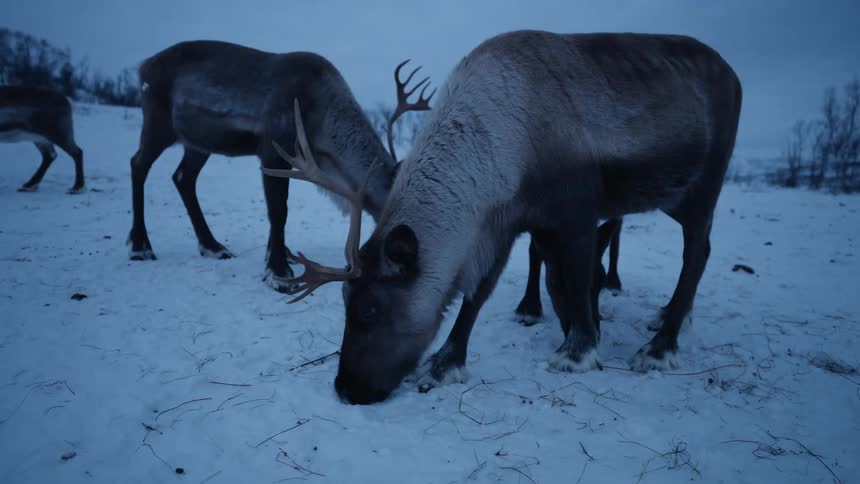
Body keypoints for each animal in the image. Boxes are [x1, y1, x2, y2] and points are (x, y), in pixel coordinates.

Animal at [266, 30, 742, 404]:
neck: (503, 142)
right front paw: (445, 362)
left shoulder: (575, 212)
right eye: (347, 302)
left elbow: (576, 279)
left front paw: (579, 350)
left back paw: (661, 345)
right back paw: (667, 317)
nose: (346, 389)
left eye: (370, 310)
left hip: (701, 187)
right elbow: (479, 292)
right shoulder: (502, 223)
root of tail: (734, 74)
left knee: (698, 251)